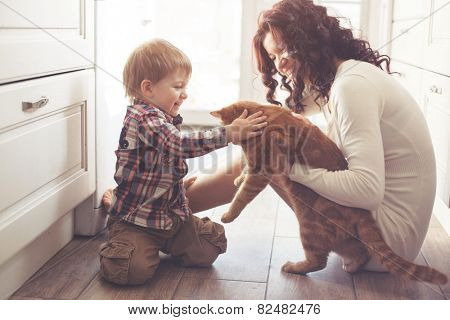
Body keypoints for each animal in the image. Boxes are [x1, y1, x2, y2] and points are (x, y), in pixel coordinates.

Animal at [210, 100, 446, 284]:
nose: (227, 137)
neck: (262, 113)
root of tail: (363, 213)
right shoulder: (255, 167)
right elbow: (244, 175)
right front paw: (238, 178)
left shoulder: (262, 170)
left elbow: (242, 196)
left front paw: (228, 215)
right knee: (359, 252)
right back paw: (353, 265)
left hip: (309, 225)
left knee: (318, 261)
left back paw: (293, 267)